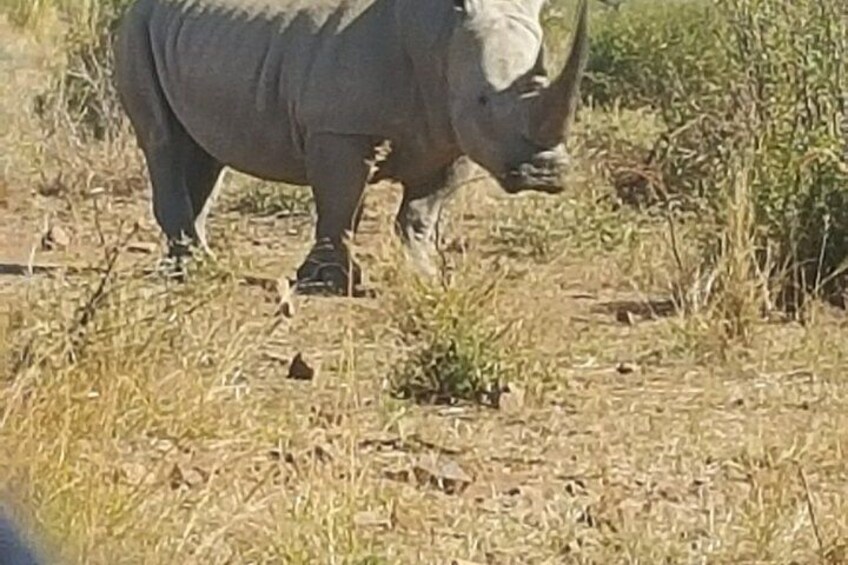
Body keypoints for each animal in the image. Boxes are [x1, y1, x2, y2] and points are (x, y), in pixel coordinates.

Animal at [114, 0, 589, 291]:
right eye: (483, 101)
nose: (544, 175)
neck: (440, 36)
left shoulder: (451, 137)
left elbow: (420, 212)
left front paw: (423, 276)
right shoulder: (338, 128)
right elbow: (340, 205)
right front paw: (330, 283)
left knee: (205, 154)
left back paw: (200, 261)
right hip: (136, 27)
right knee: (163, 142)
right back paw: (191, 268)